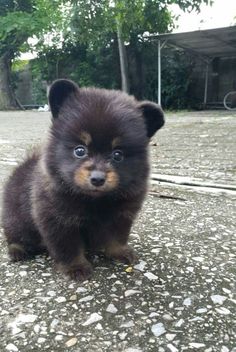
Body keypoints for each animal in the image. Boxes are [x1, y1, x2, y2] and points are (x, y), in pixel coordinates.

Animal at [1, 79, 164, 280]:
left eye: (118, 155)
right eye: (80, 150)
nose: (98, 178)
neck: (95, 200)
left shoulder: (121, 215)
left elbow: (117, 238)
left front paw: (120, 253)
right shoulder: (58, 220)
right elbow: (68, 247)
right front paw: (76, 267)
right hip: (15, 219)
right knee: (15, 237)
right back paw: (17, 251)